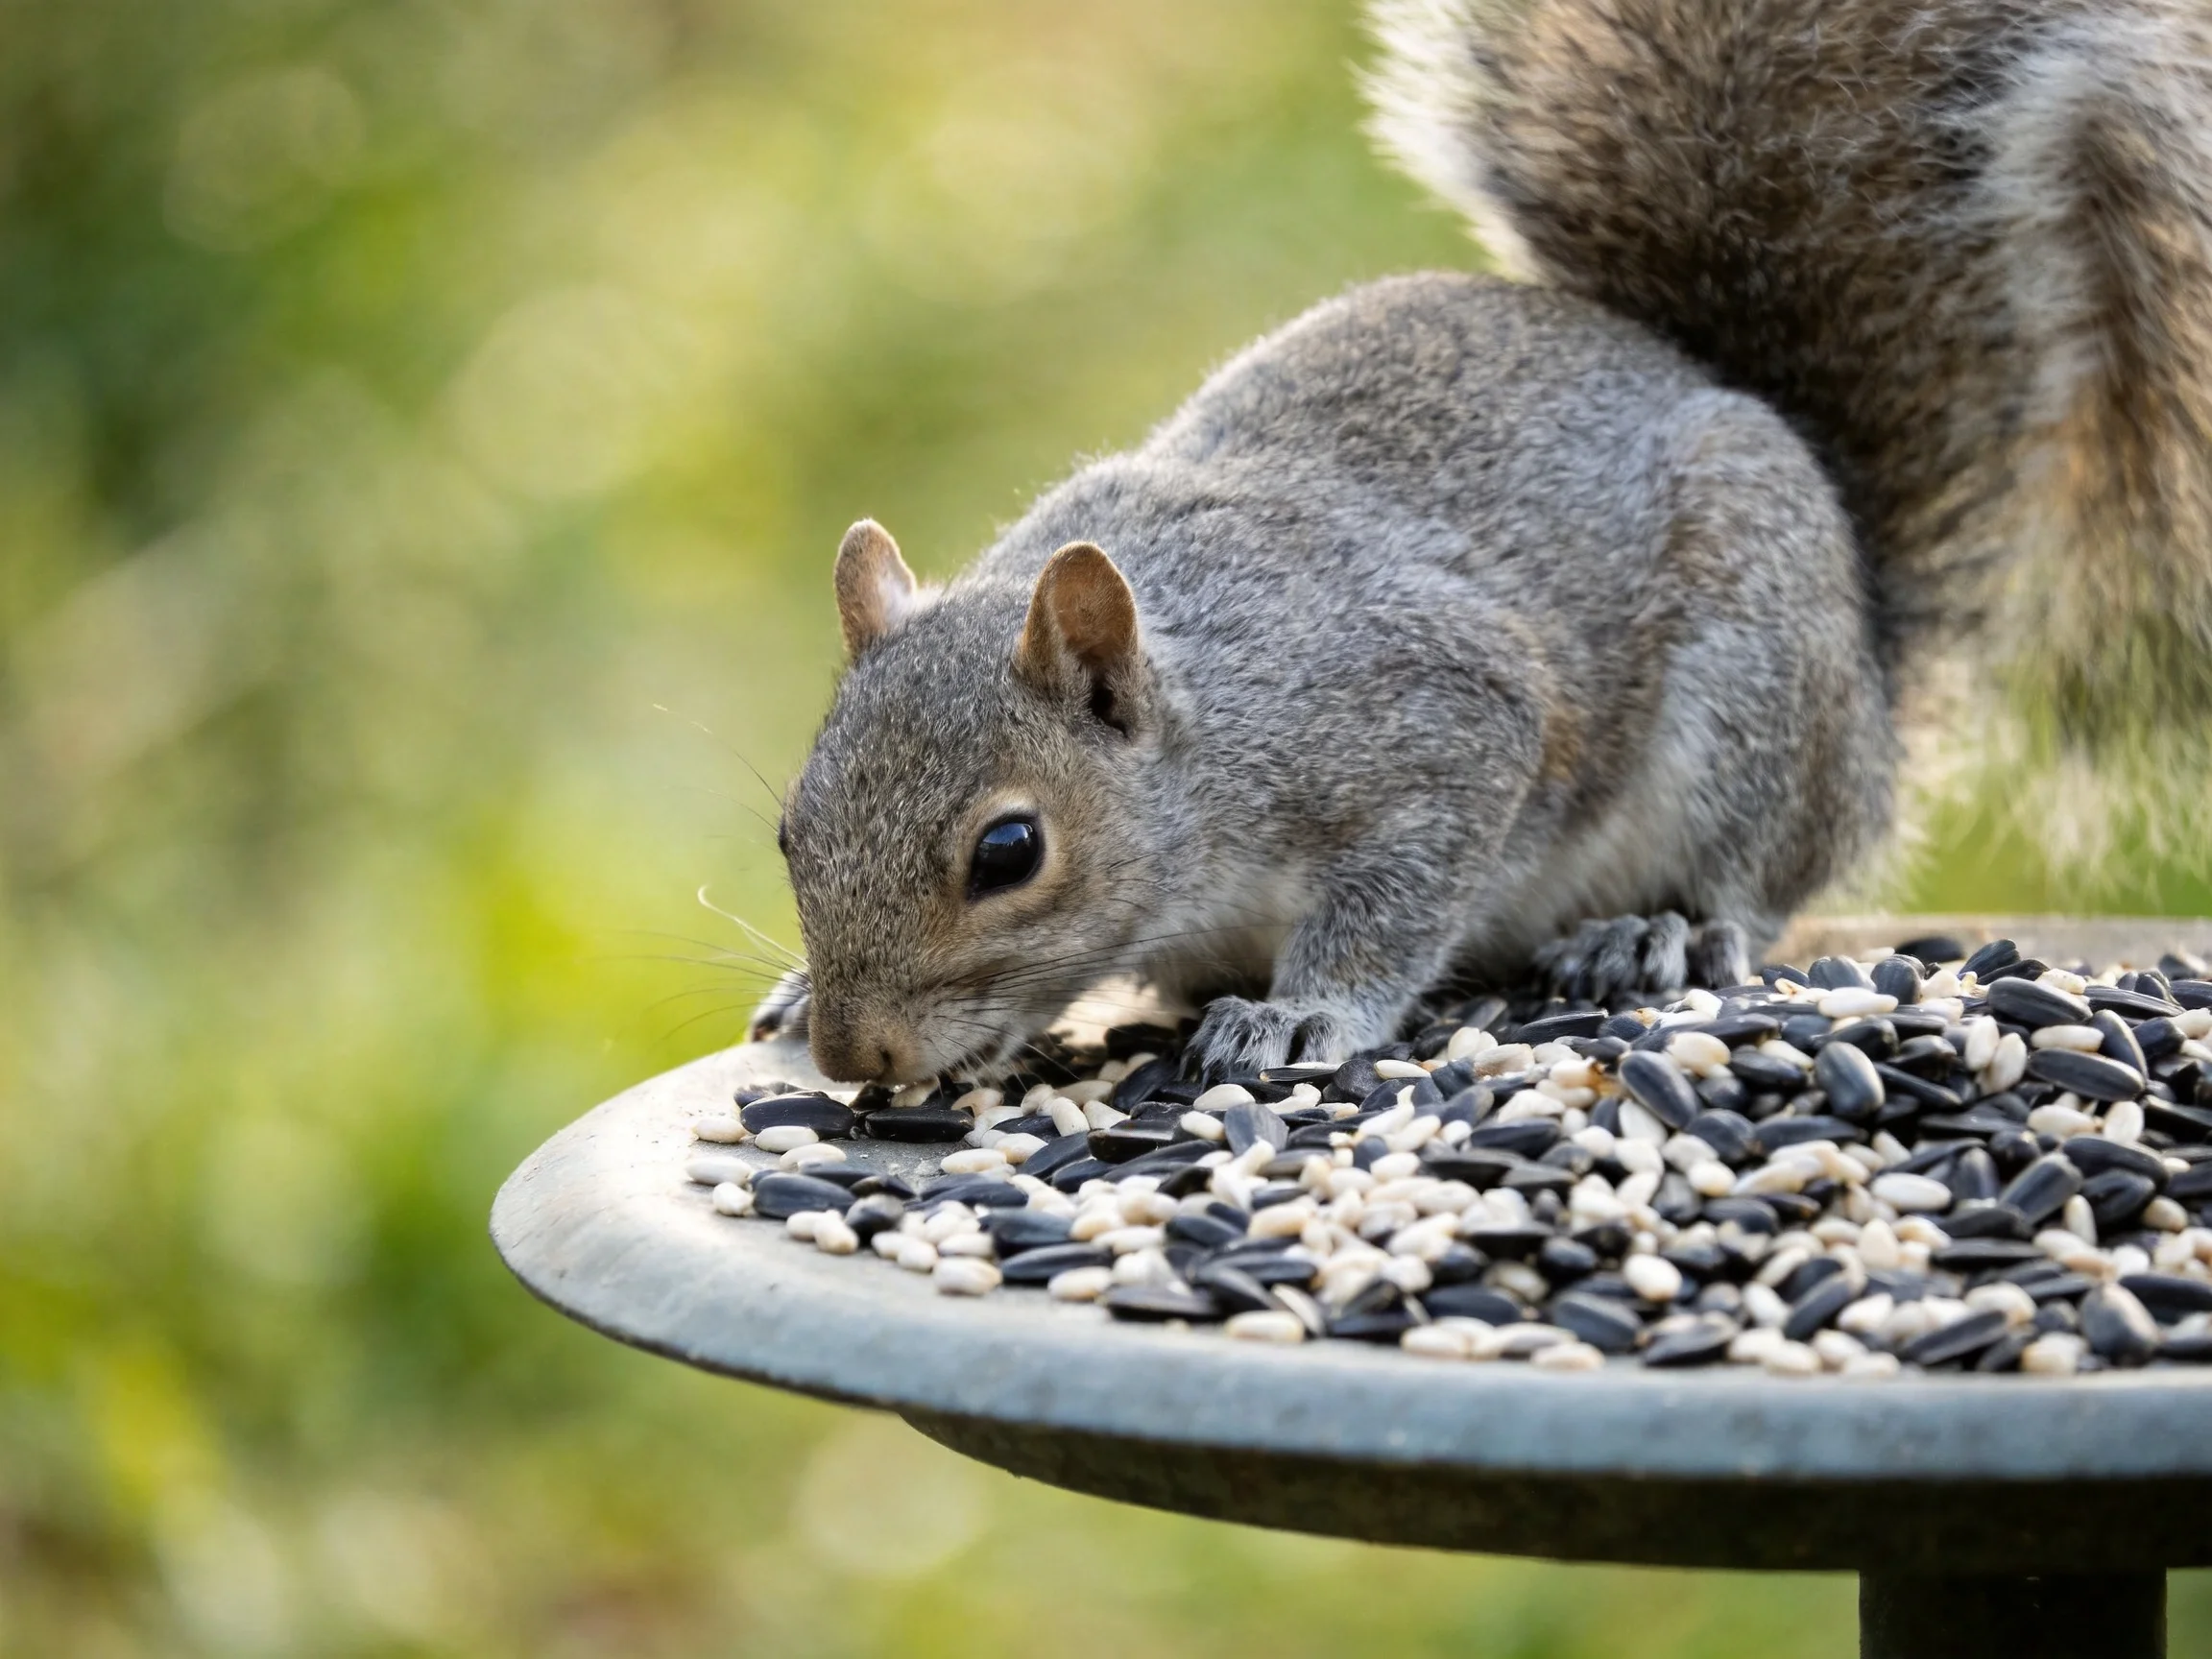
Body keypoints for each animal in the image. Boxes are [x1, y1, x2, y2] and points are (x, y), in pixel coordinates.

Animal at [750, 0, 2212, 1085]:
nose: (859, 1057)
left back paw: (1656, 934)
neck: (1207, 722)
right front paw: (794, 994)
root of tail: (1867, 673)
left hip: (1757, 691)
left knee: (1765, 873)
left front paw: (1307, 1012)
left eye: (1009, 853)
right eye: (788, 830)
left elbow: (1397, 895)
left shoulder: (1440, 723)